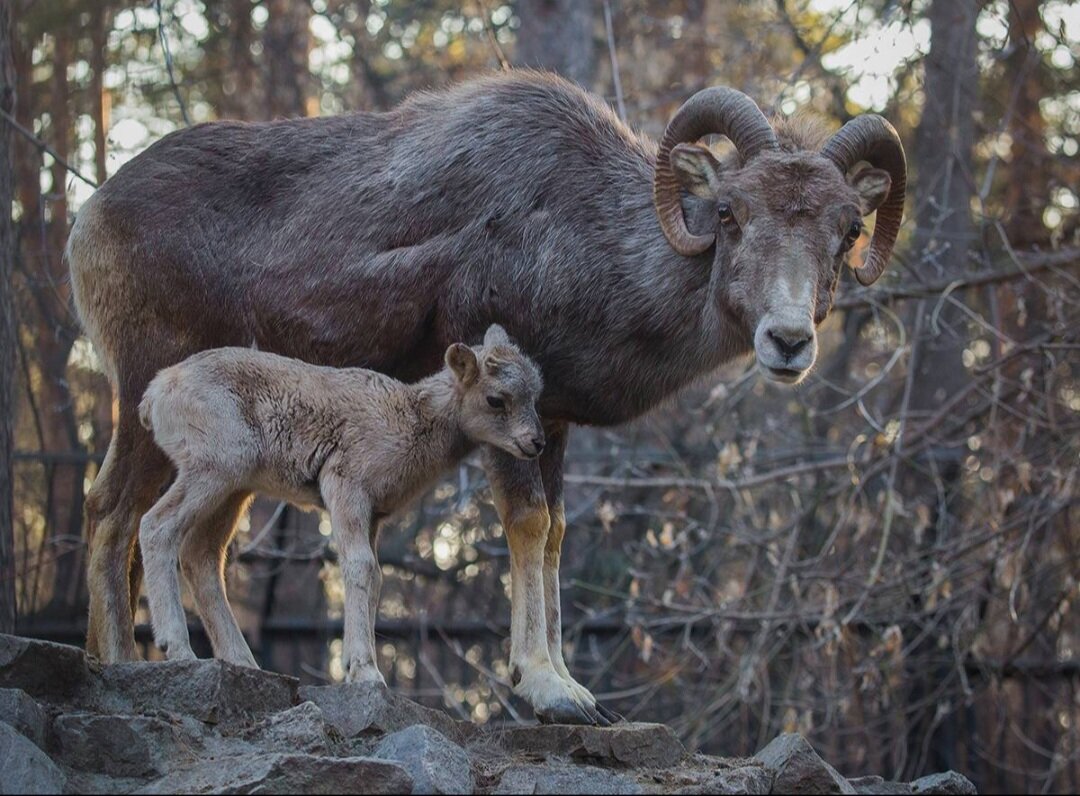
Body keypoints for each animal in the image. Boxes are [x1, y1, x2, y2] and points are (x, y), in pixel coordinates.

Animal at [139, 326, 544, 686]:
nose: (536, 442)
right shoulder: (345, 487)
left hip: (234, 489)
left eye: (535, 394)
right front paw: (366, 673)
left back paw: (246, 664)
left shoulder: (374, 515)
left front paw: (354, 666)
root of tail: (156, 393)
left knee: (201, 556)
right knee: (156, 527)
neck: (409, 422)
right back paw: (179, 649)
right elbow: (360, 566)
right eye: (496, 399)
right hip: (215, 468)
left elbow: (376, 576)